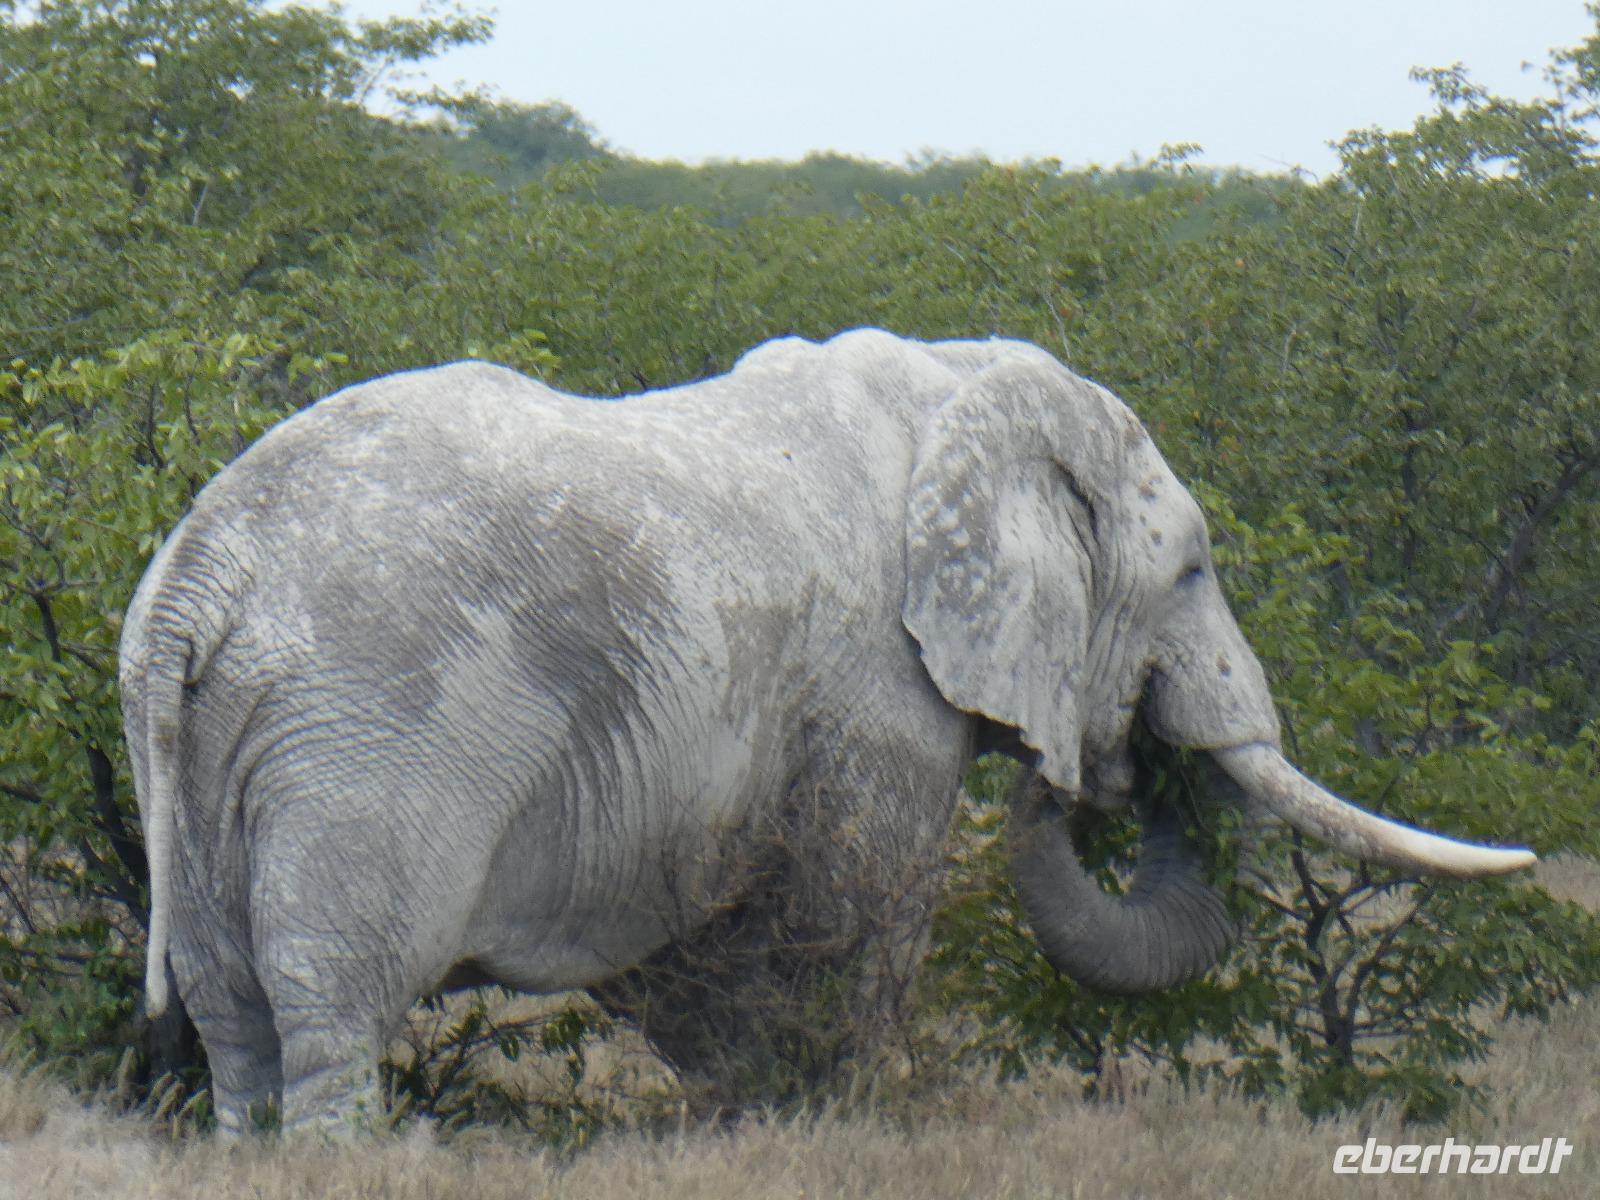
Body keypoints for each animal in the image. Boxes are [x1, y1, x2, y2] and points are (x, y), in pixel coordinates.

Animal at [119, 328, 1534, 1134]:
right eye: (1190, 571)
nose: (1096, 764)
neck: (955, 388)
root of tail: (199, 575)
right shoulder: (878, 686)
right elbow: (855, 916)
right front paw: (833, 1132)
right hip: (369, 747)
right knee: (332, 1009)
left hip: (212, 749)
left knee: (233, 1018)